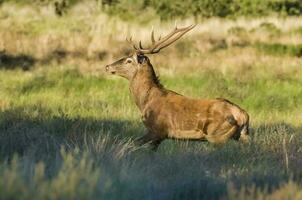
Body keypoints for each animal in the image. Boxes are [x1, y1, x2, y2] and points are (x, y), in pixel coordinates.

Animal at [105, 24, 249, 150]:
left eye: (128, 60)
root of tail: (242, 115)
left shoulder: (157, 130)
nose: (107, 66)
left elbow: (134, 143)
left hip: (217, 136)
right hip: (243, 135)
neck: (145, 102)